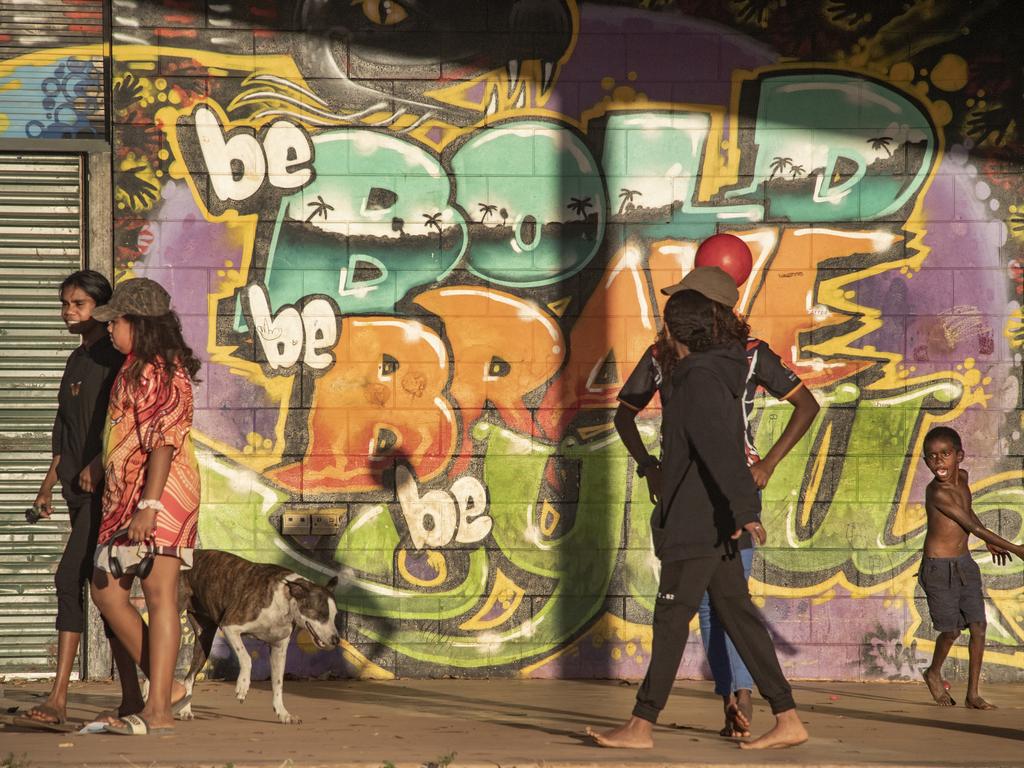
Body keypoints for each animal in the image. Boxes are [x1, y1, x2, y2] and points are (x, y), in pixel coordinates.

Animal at [174, 548, 337, 724]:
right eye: (321, 614)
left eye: (335, 615)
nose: (337, 639)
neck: (285, 600)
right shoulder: (230, 626)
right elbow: (247, 658)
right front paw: (243, 686)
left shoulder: (279, 648)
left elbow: (278, 683)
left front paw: (283, 713)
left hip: (204, 640)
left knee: (189, 677)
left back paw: (185, 710)